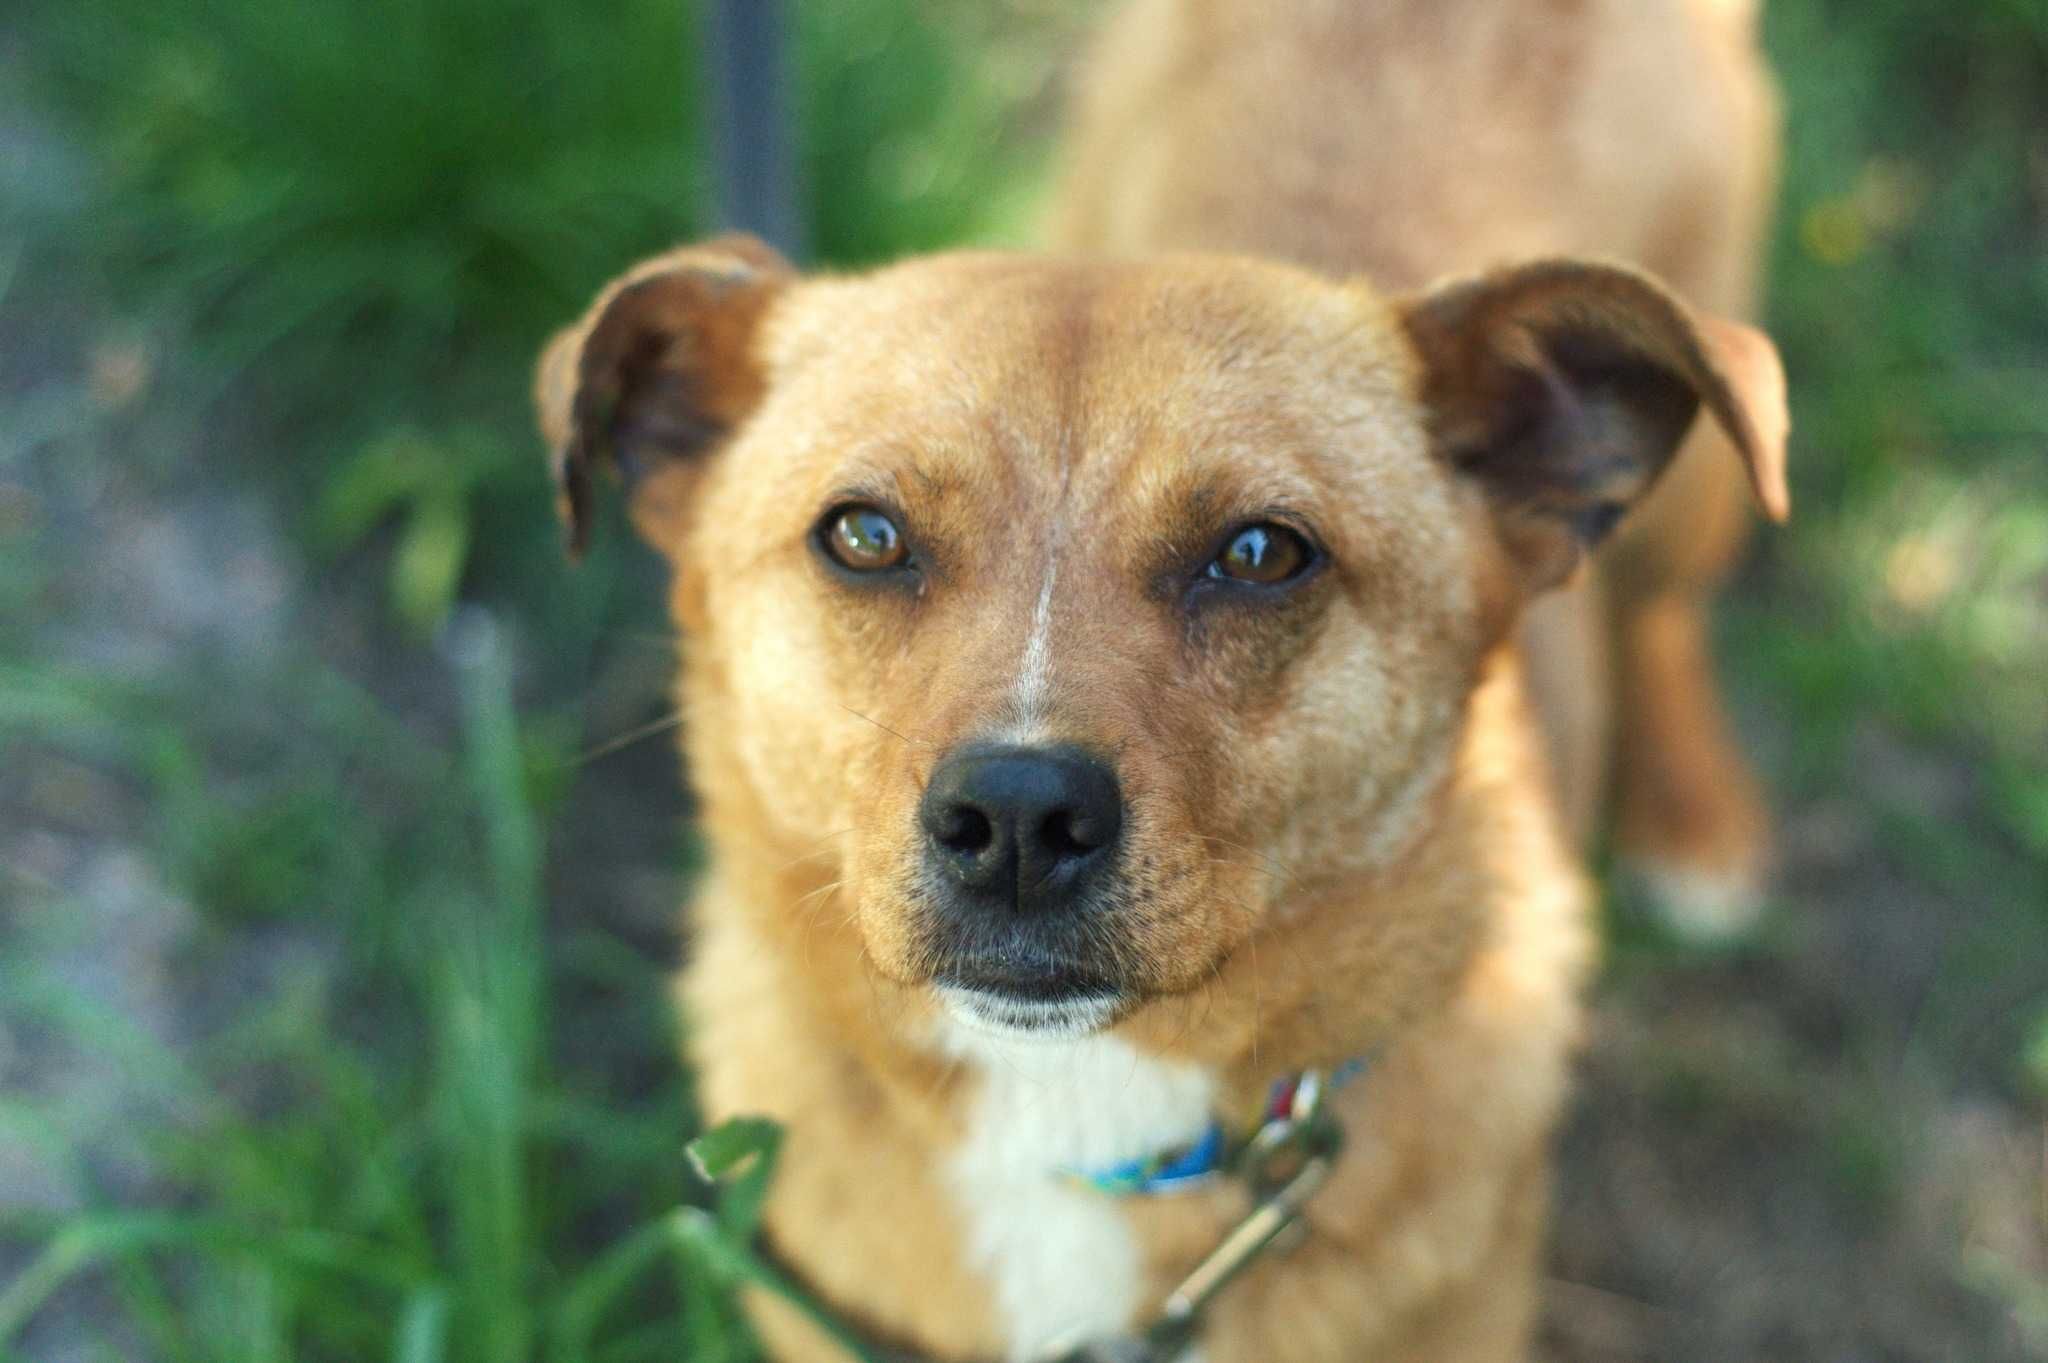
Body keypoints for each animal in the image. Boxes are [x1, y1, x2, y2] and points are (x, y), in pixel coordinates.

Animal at [536, 231, 1785, 1350]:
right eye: (864, 533)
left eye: (1260, 554)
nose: (1015, 819)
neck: (1070, 1114)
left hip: (1698, 495)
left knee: (1664, 611)